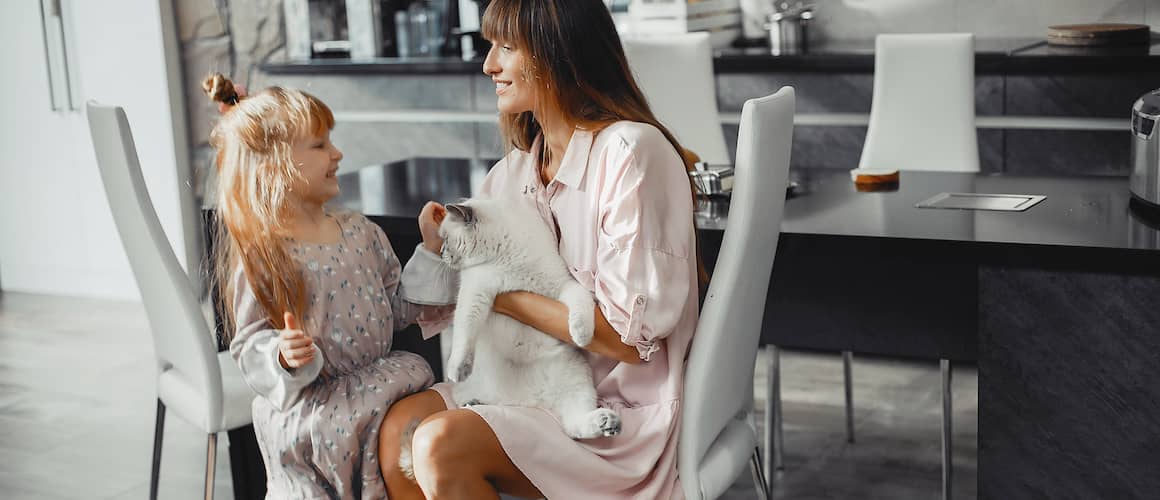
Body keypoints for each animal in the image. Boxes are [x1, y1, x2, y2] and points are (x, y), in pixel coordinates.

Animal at [436, 197, 621, 440]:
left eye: (445, 239)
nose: (440, 252)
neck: (507, 257)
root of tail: (528, 401)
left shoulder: (562, 288)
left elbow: (581, 308)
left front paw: (581, 337)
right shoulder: (476, 292)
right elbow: (465, 334)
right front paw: (457, 370)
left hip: (577, 377)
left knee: (574, 426)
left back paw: (607, 422)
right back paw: (473, 402)